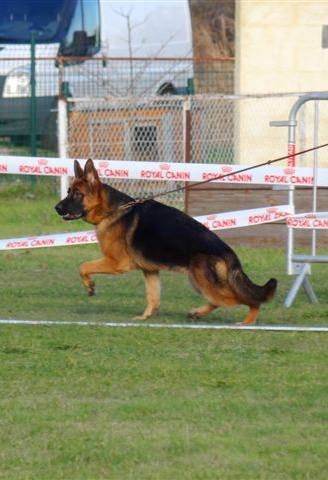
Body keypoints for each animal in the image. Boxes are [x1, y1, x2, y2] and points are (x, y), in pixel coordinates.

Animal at [55, 159, 276, 324]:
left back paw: (247, 322)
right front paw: (145, 317)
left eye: (77, 194)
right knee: (219, 301)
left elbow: (83, 266)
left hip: (202, 281)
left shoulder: (116, 263)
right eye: (68, 192)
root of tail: (228, 253)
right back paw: (197, 313)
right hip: (199, 281)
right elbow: (153, 297)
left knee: (244, 300)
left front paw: (90, 286)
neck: (112, 210)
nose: (56, 208)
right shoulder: (150, 271)